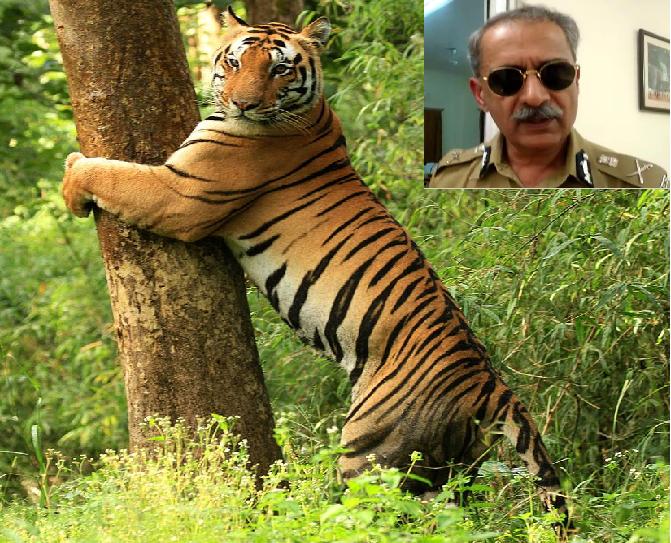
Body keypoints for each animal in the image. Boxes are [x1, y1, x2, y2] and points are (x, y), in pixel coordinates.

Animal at [61, 7, 571, 529]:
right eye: (235, 61)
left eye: (280, 69)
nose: (243, 104)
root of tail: (489, 383)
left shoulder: (179, 193)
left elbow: (113, 175)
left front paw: (72, 177)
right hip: (452, 470)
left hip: (372, 453)